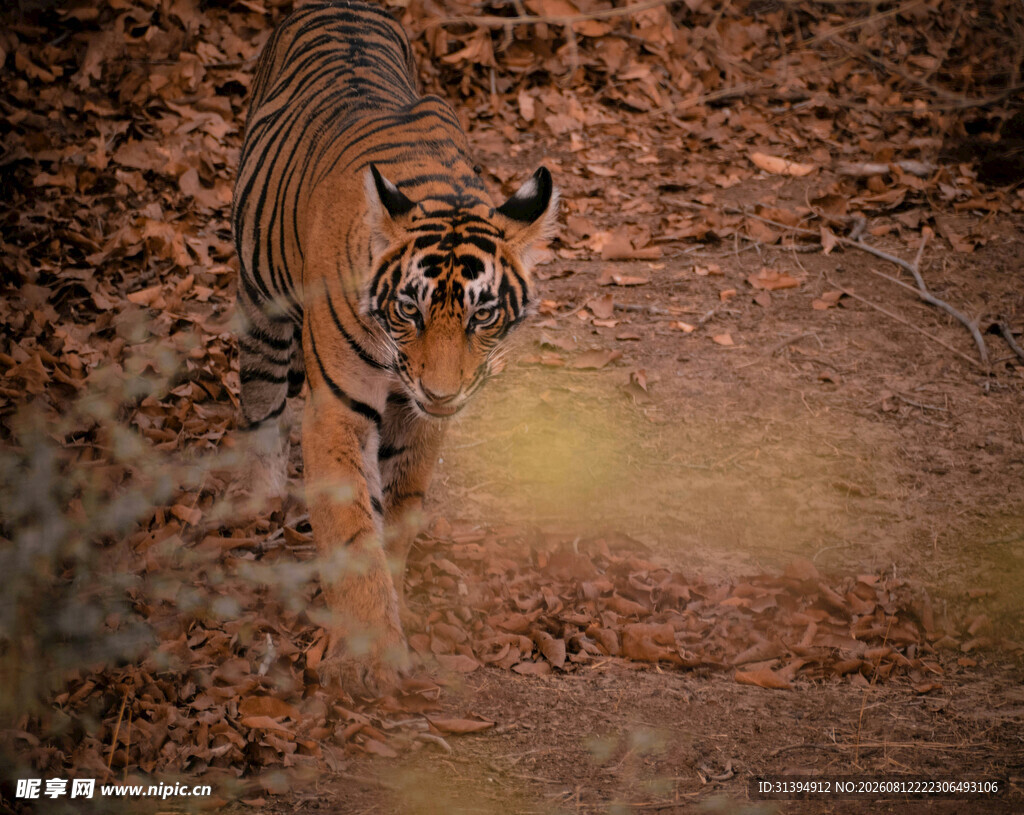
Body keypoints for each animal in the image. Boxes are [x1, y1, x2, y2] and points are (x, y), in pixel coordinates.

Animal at [231, 0, 557, 695]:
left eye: (483, 315)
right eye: (410, 310)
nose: (441, 391)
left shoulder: (420, 420)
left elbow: (400, 510)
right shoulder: (339, 409)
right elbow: (354, 529)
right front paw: (369, 656)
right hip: (260, 299)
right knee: (262, 401)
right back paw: (259, 498)